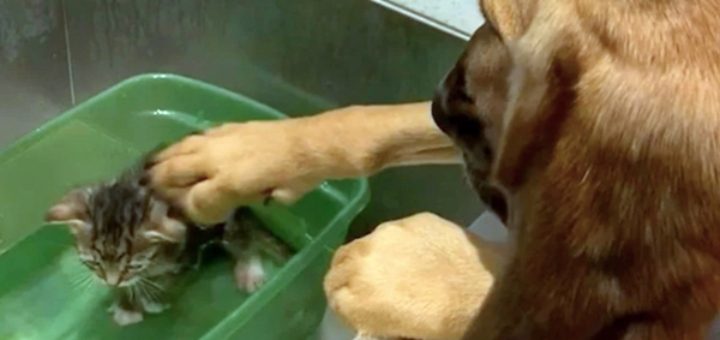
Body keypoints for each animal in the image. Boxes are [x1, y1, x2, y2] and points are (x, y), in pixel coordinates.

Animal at [45, 161, 290, 326]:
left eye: (133, 265)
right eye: (94, 263)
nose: (112, 281)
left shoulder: (188, 253)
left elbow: (169, 281)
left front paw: (152, 299)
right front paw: (126, 304)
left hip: (227, 222)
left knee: (245, 239)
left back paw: (249, 269)